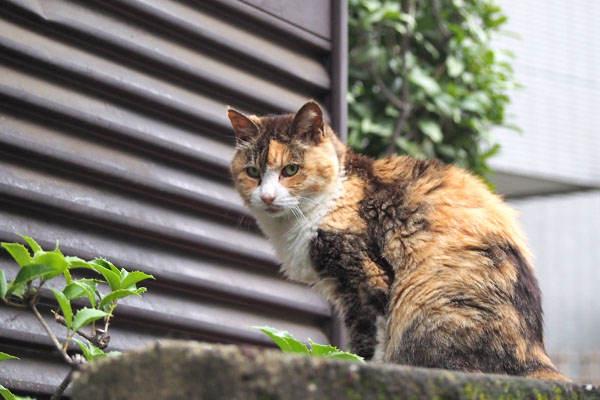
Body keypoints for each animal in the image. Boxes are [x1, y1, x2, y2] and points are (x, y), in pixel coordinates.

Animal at [226, 101, 568, 382]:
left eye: (291, 169)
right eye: (253, 172)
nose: (267, 197)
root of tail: (536, 357)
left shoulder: (365, 280)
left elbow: (367, 340)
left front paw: (364, 367)